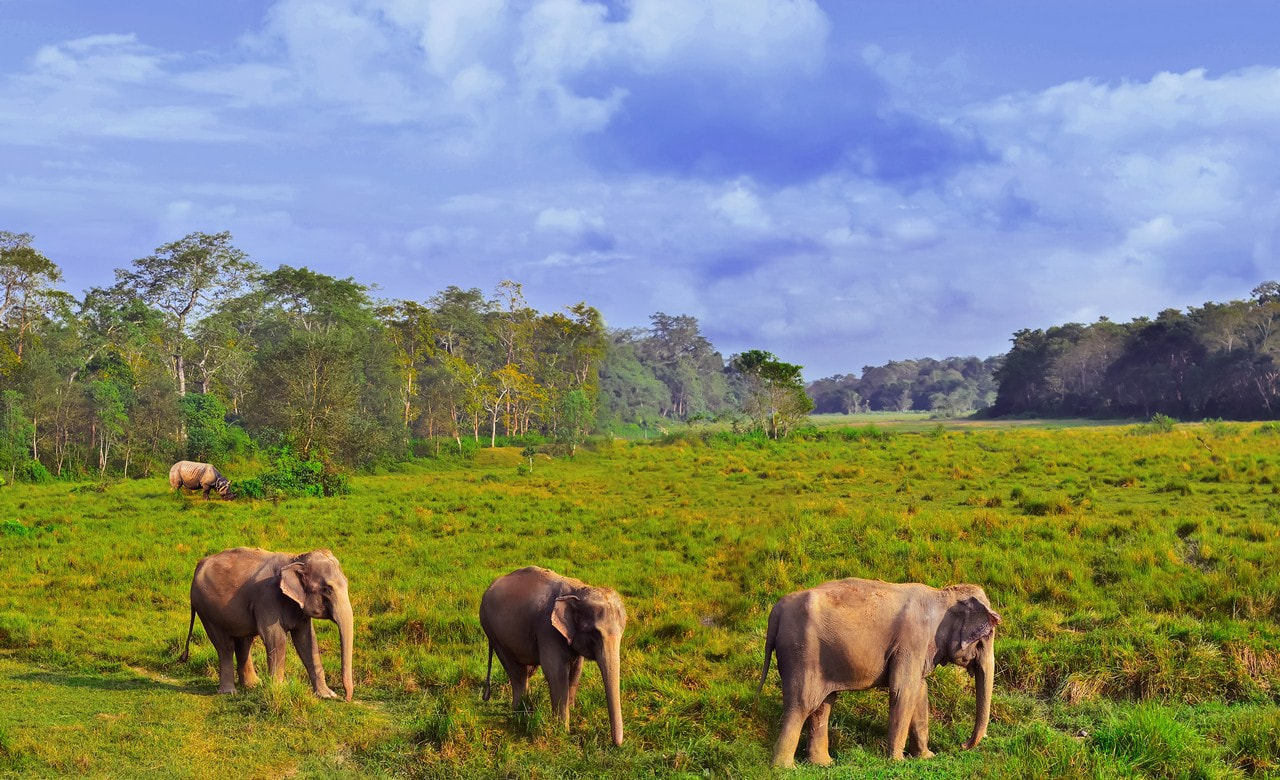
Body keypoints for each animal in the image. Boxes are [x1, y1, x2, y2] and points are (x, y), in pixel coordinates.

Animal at [177, 548, 353, 701]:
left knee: (244, 642)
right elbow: (276, 638)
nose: (346, 698)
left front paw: (327, 695)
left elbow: (307, 640)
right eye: (327, 589)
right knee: (225, 646)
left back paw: (253, 685)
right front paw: (279, 689)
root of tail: (200, 564)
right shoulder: (267, 598)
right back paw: (229, 692)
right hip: (207, 610)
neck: (295, 558)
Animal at [478, 566, 627, 742]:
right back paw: (519, 711)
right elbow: (556, 672)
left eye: (622, 632)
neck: (578, 590)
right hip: (492, 632)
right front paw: (563, 730)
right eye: (595, 633)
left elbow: (576, 670)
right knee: (516, 671)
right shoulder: (547, 629)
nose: (617, 744)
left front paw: (572, 711)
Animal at [752, 578, 1003, 768]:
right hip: (801, 652)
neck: (941, 594)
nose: (962, 745)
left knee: (822, 705)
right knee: (802, 705)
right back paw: (785, 768)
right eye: (986, 637)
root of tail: (777, 610)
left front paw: (926, 757)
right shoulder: (913, 640)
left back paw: (823, 764)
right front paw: (898, 761)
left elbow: (920, 691)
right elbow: (903, 690)